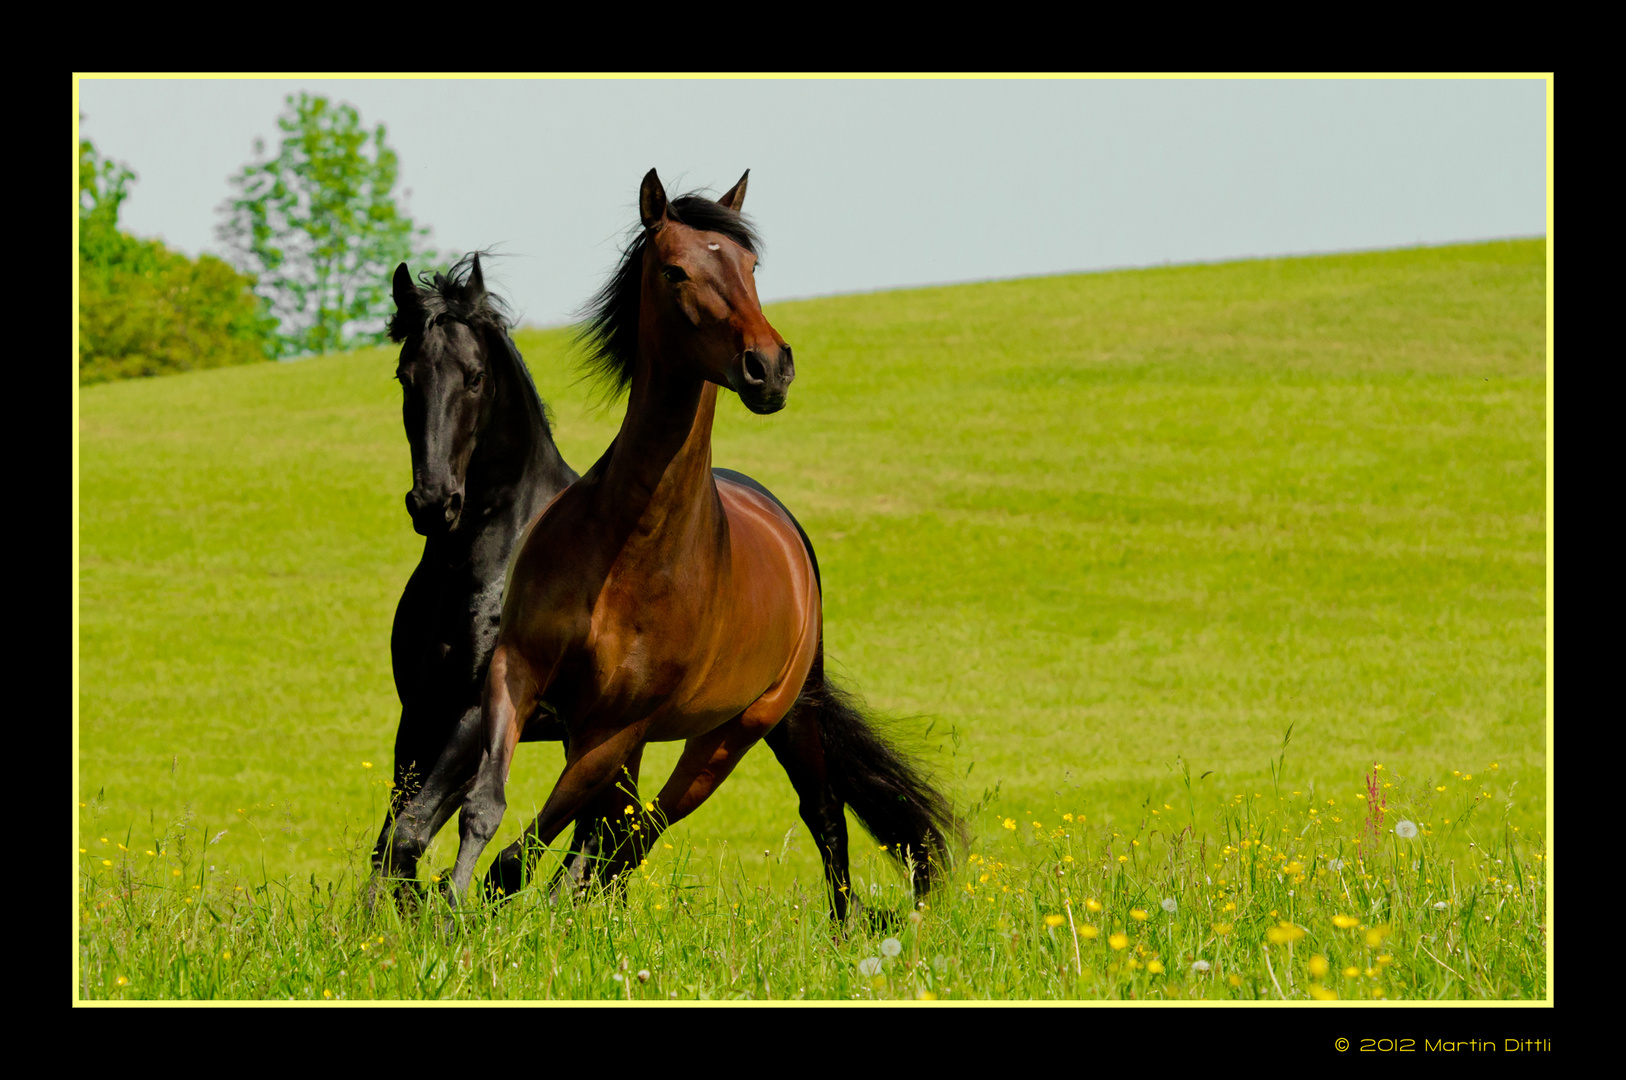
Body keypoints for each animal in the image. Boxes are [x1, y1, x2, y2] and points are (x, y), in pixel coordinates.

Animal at [445, 170, 962, 917]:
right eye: (675, 270)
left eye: (751, 266)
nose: (769, 367)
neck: (629, 544)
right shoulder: (523, 672)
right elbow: (488, 807)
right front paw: (447, 910)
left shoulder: (622, 725)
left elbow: (535, 847)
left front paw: (481, 913)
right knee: (623, 831)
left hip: (756, 726)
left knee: (779, 817)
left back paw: (844, 927)